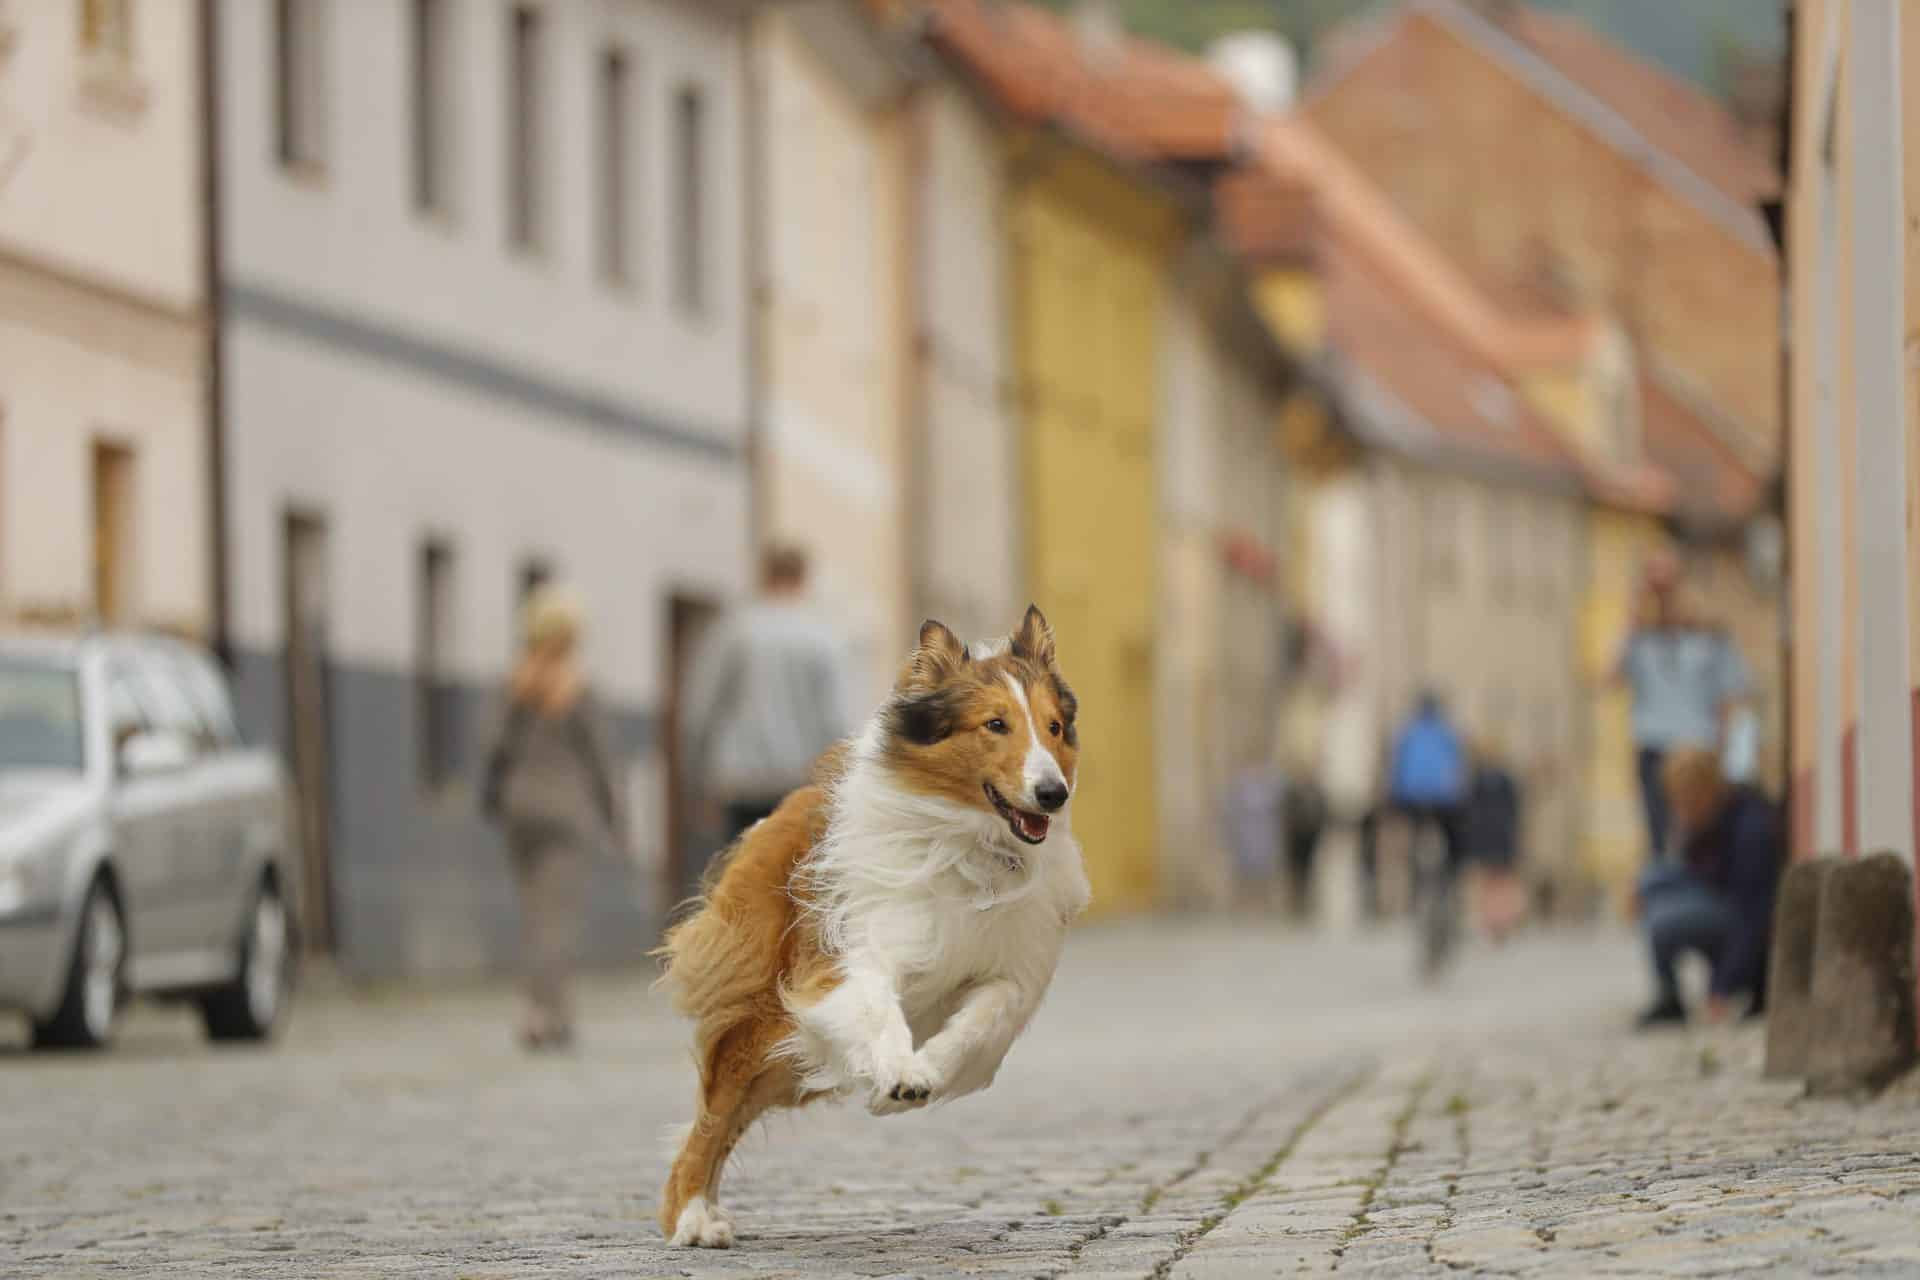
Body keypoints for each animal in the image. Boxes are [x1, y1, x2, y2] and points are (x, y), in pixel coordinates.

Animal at [652, 606, 1090, 1243]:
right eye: (995, 724)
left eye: (1054, 727)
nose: (1052, 793)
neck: (970, 844)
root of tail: (773, 817)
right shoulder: (851, 958)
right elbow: (879, 1012)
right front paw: (900, 1074)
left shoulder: (1009, 972)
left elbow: (981, 1023)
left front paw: (913, 1083)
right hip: (762, 1019)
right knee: (710, 1120)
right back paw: (691, 1217)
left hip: (785, 1060)